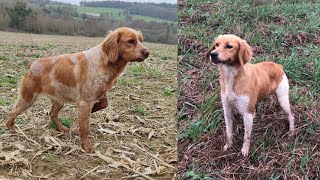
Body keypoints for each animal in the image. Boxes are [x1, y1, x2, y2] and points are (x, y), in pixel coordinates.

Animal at [5, 27, 149, 153]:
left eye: (141, 40)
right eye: (130, 41)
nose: (147, 53)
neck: (105, 62)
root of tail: (32, 65)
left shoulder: (99, 95)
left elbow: (103, 105)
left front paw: (90, 113)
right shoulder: (85, 102)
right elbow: (84, 127)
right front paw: (86, 146)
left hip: (59, 99)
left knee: (52, 114)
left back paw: (62, 128)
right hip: (28, 98)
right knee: (13, 112)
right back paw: (11, 127)